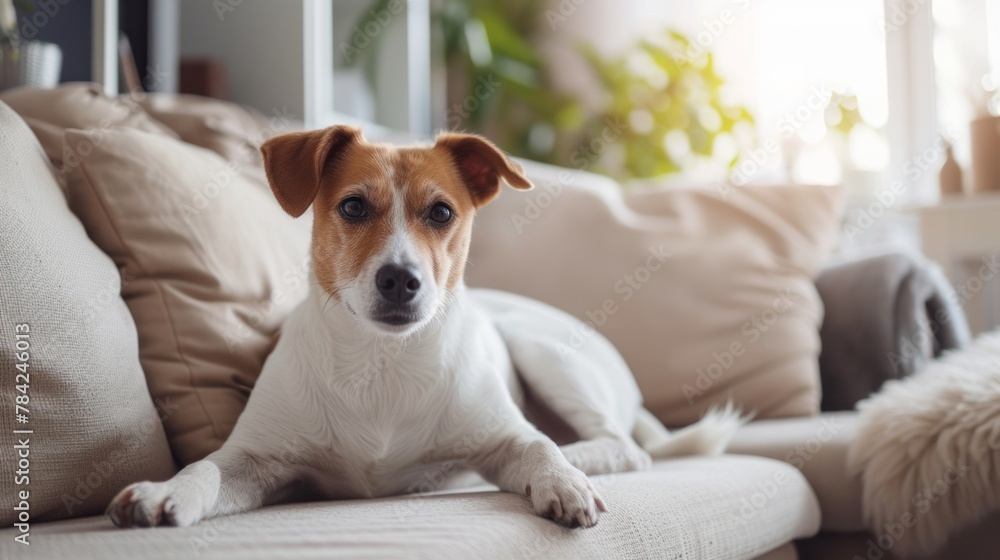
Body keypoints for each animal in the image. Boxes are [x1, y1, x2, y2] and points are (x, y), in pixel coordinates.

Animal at [107, 126, 744, 528]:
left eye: (441, 212)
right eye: (353, 206)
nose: (400, 279)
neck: (381, 361)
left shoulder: (502, 436)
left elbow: (535, 445)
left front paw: (561, 479)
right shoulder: (258, 461)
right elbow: (207, 467)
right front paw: (166, 491)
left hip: (546, 353)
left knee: (622, 446)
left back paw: (576, 460)